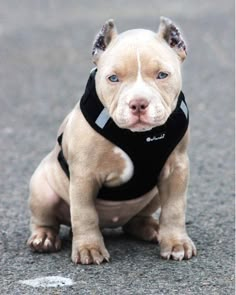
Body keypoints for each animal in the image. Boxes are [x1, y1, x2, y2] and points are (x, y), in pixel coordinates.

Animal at [27, 17, 196, 264]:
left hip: (153, 194)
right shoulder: (84, 176)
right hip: (42, 190)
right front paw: (88, 248)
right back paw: (44, 238)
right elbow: (84, 213)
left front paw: (176, 243)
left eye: (162, 75)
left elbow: (174, 209)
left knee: (135, 221)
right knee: (45, 219)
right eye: (113, 78)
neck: (138, 137)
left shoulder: (176, 169)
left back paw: (152, 228)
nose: (138, 104)